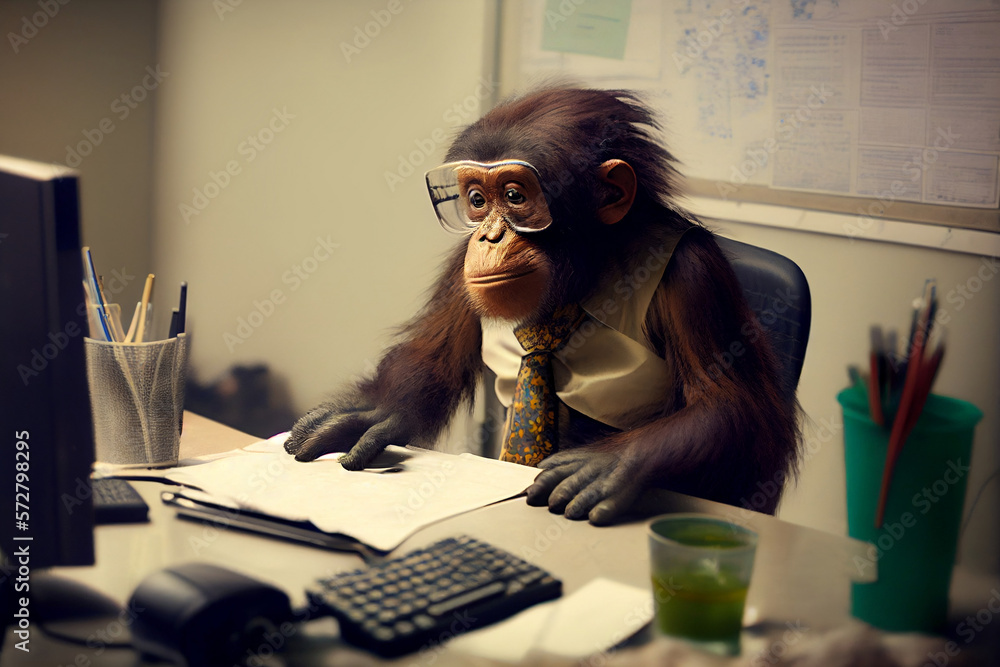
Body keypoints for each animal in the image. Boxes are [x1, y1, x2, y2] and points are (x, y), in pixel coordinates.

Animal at [285, 85, 800, 525]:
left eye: (515, 196)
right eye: (476, 200)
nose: (489, 236)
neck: (583, 279)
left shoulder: (694, 277)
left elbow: (729, 406)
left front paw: (613, 463)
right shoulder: (459, 268)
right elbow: (432, 361)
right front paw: (372, 414)